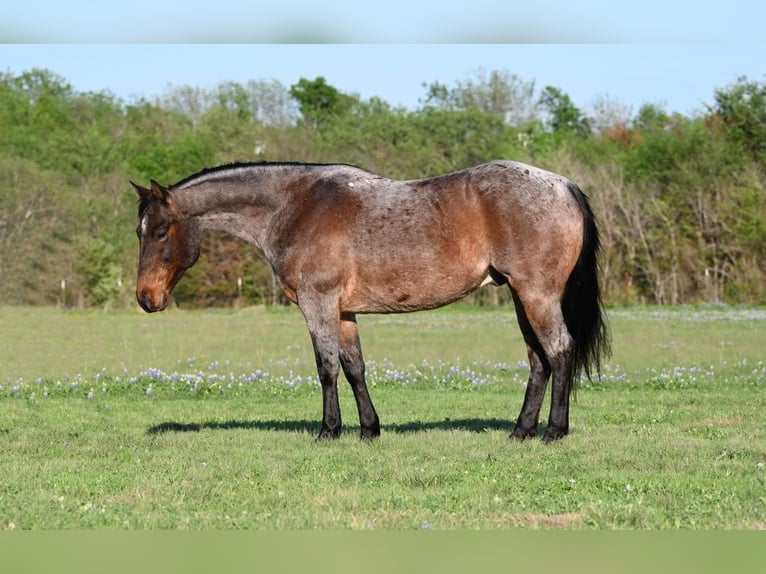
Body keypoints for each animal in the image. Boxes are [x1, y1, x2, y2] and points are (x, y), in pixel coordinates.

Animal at [132, 160, 612, 444]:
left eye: (160, 231)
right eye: (139, 231)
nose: (145, 298)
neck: (295, 206)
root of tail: (563, 185)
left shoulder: (318, 304)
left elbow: (326, 368)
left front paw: (328, 431)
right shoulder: (344, 311)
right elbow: (354, 368)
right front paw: (368, 429)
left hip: (536, 295)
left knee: (560, 352)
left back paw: (554, 431)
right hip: (519, 295)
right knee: (538, 362)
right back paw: (521, 431)